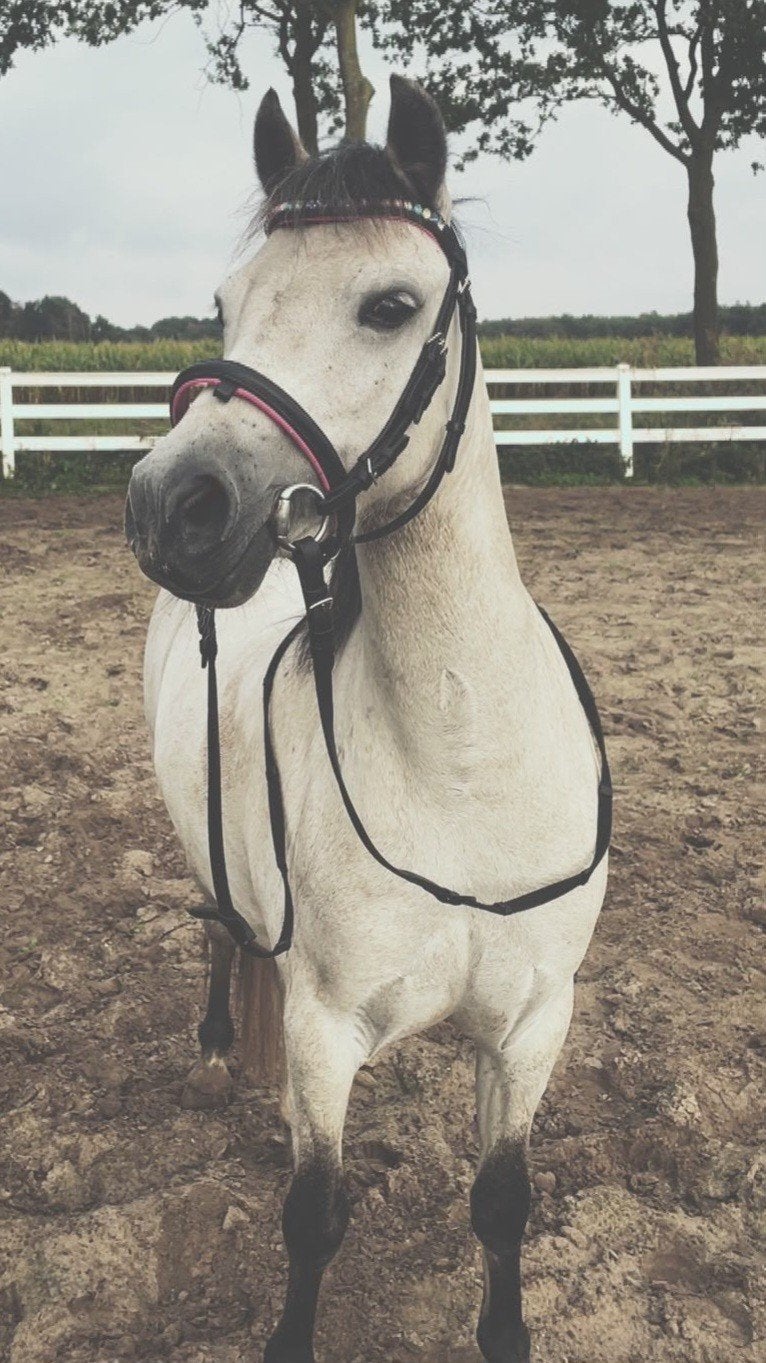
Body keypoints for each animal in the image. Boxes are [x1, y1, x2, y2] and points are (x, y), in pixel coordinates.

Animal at [125, 75, 609, 1363]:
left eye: (390, 306)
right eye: (227, 301)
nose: (172, 505)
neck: (462, 762)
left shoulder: (531, 1027)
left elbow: (501, 1203)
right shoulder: (325, 1029)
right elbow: (312, 1216)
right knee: (220, 923)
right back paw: (210, 1051)